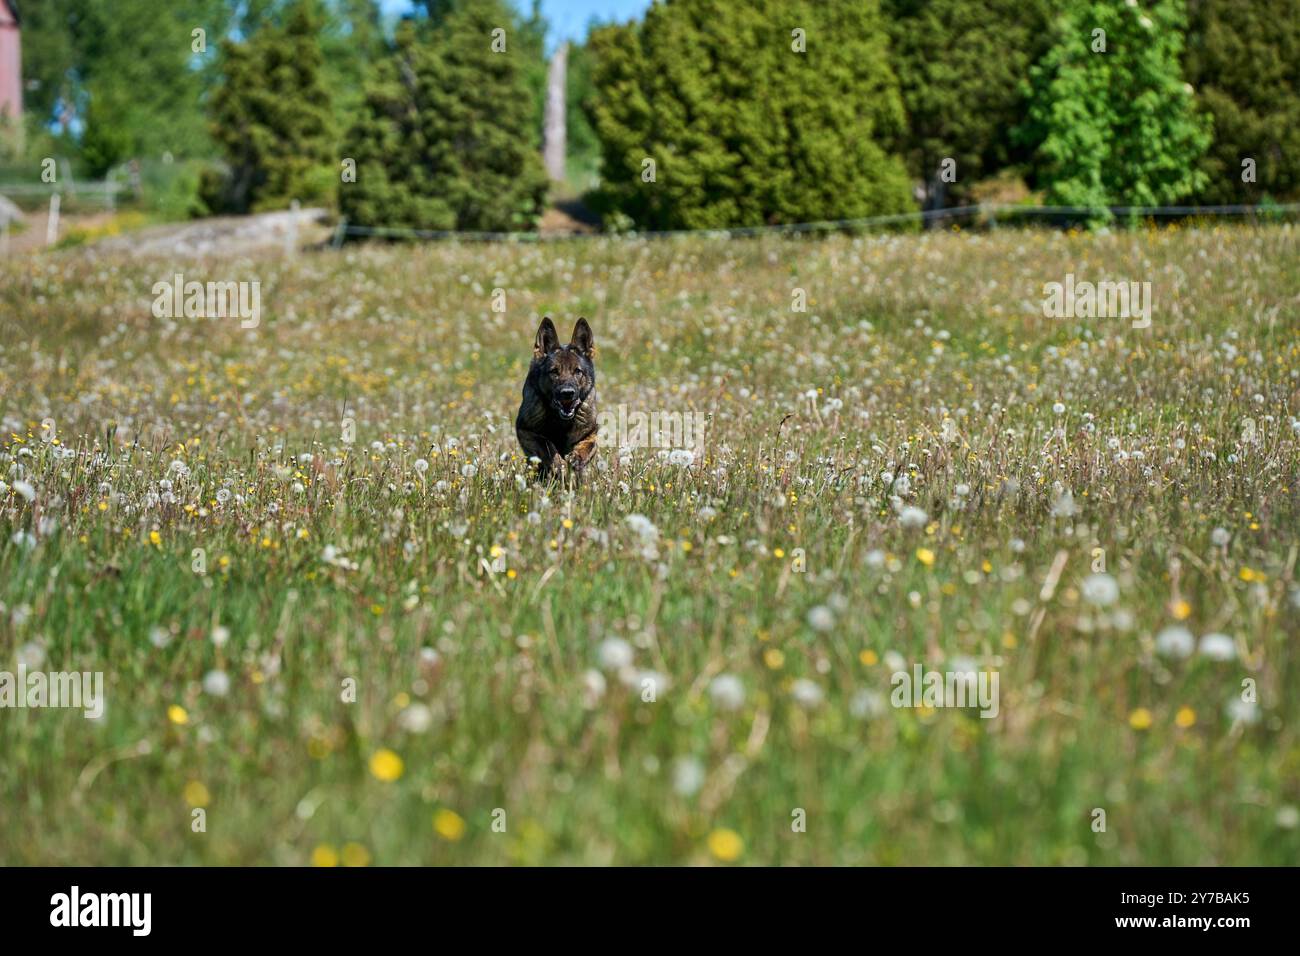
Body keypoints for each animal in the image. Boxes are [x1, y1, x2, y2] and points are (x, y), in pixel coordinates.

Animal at [517, 316, 598, 478]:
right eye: (554, 371)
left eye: (577, 371)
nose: (567, 393)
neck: (561, 421)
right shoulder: (525, 431)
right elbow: (546, 445)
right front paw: (558, 464)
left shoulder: (591, 432)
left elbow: (586, 445)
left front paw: (576, 457)